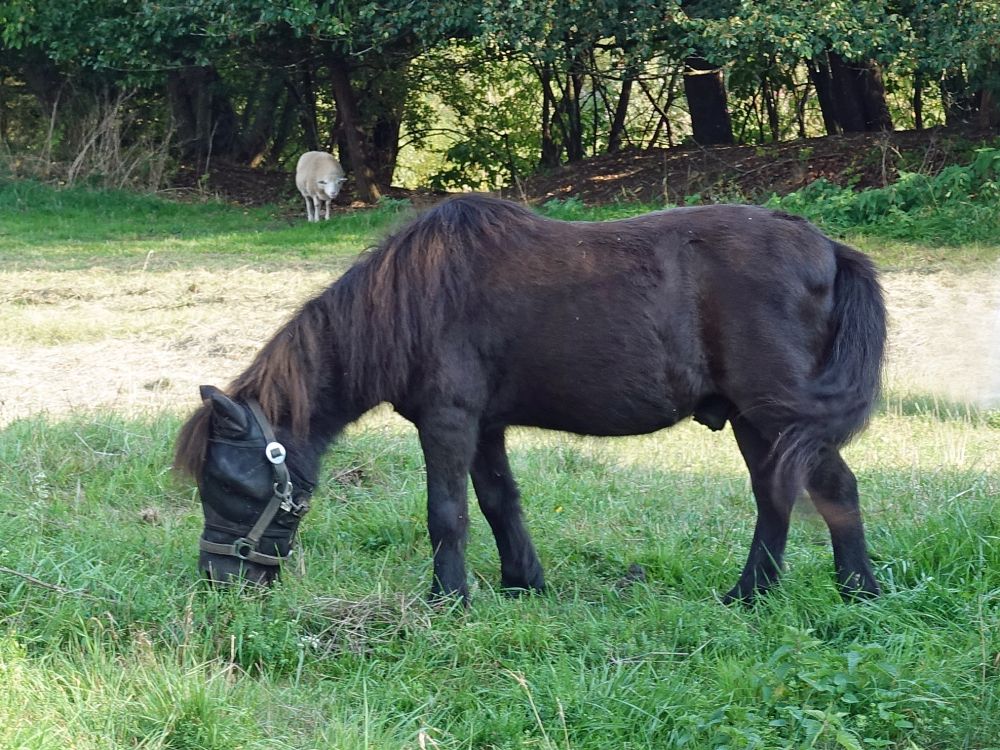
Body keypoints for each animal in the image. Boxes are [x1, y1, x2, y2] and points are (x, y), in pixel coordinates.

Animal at [176, 195, 888, 604]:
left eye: (228, 484)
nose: (218, 582)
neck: (412, 298)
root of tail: (828, 247)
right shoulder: (484, 427)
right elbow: (498, 503)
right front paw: (524, 582)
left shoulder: (448, 423)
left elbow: (447, 513)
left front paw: (449, 599)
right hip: (752, 419)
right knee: (776, 496)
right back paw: (752, 594)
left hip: (778, 414)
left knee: (833, 489)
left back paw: (858, 591)